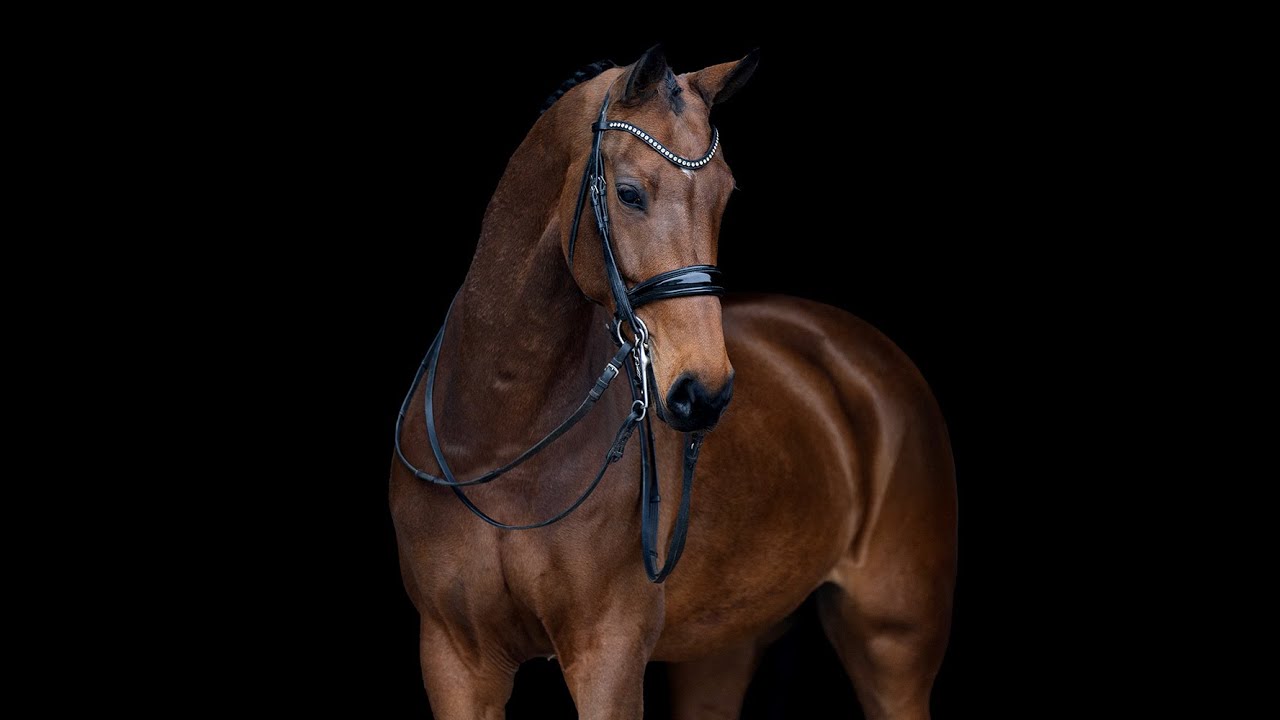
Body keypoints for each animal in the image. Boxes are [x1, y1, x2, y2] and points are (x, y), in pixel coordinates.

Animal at [391, 46, 957, 720]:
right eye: (629, 194)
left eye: (725, 195)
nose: (702, 393)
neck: (500, 443)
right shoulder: (455, 658)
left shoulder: (607, 655)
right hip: (722, 646)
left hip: (895, 642)